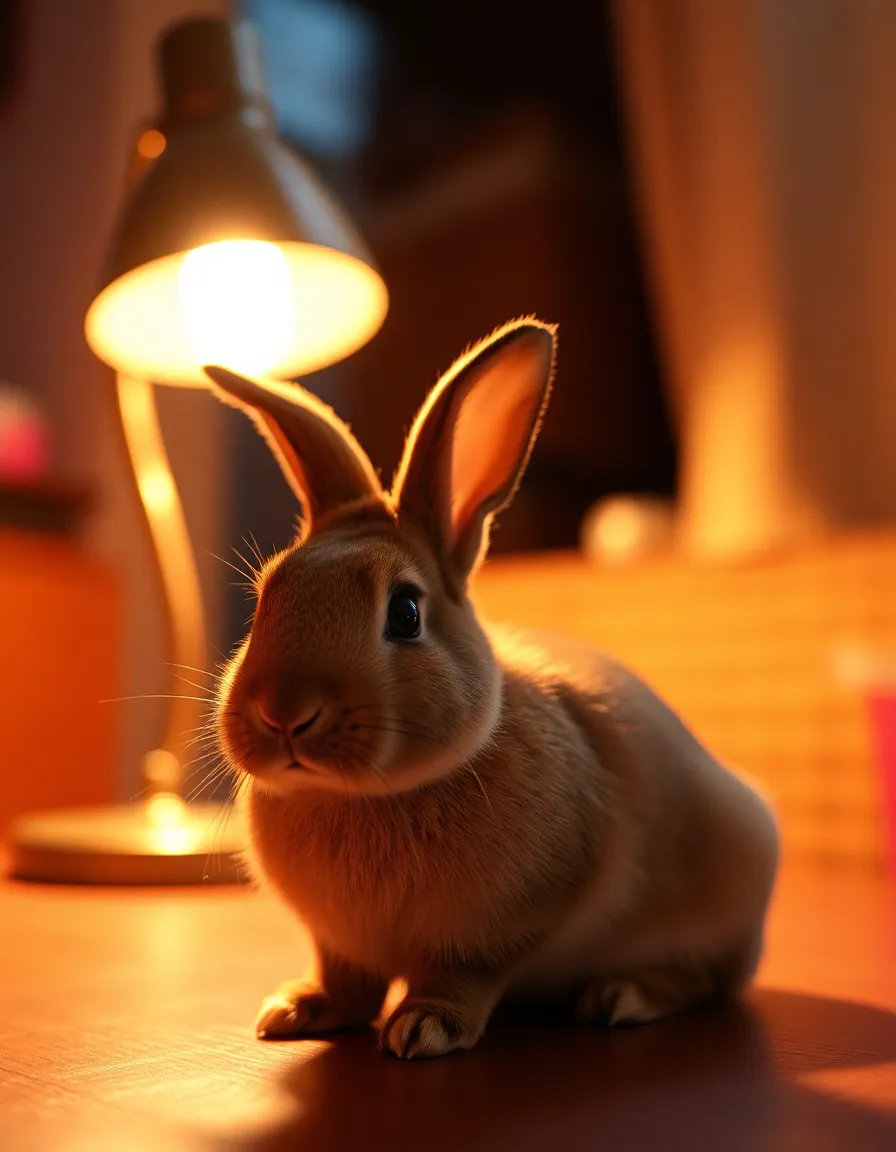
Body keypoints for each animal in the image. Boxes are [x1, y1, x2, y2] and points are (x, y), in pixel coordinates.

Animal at [205, 318, 779, 1061]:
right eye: (264, 600)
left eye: (405, 612)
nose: (285, 716)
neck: (368, 796)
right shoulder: (339, 946)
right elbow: (345, 980)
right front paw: (297, 1010)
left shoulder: (499, 930)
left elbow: (462, 976)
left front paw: (423, 1028)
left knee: (704, 979)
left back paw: (623, 996)